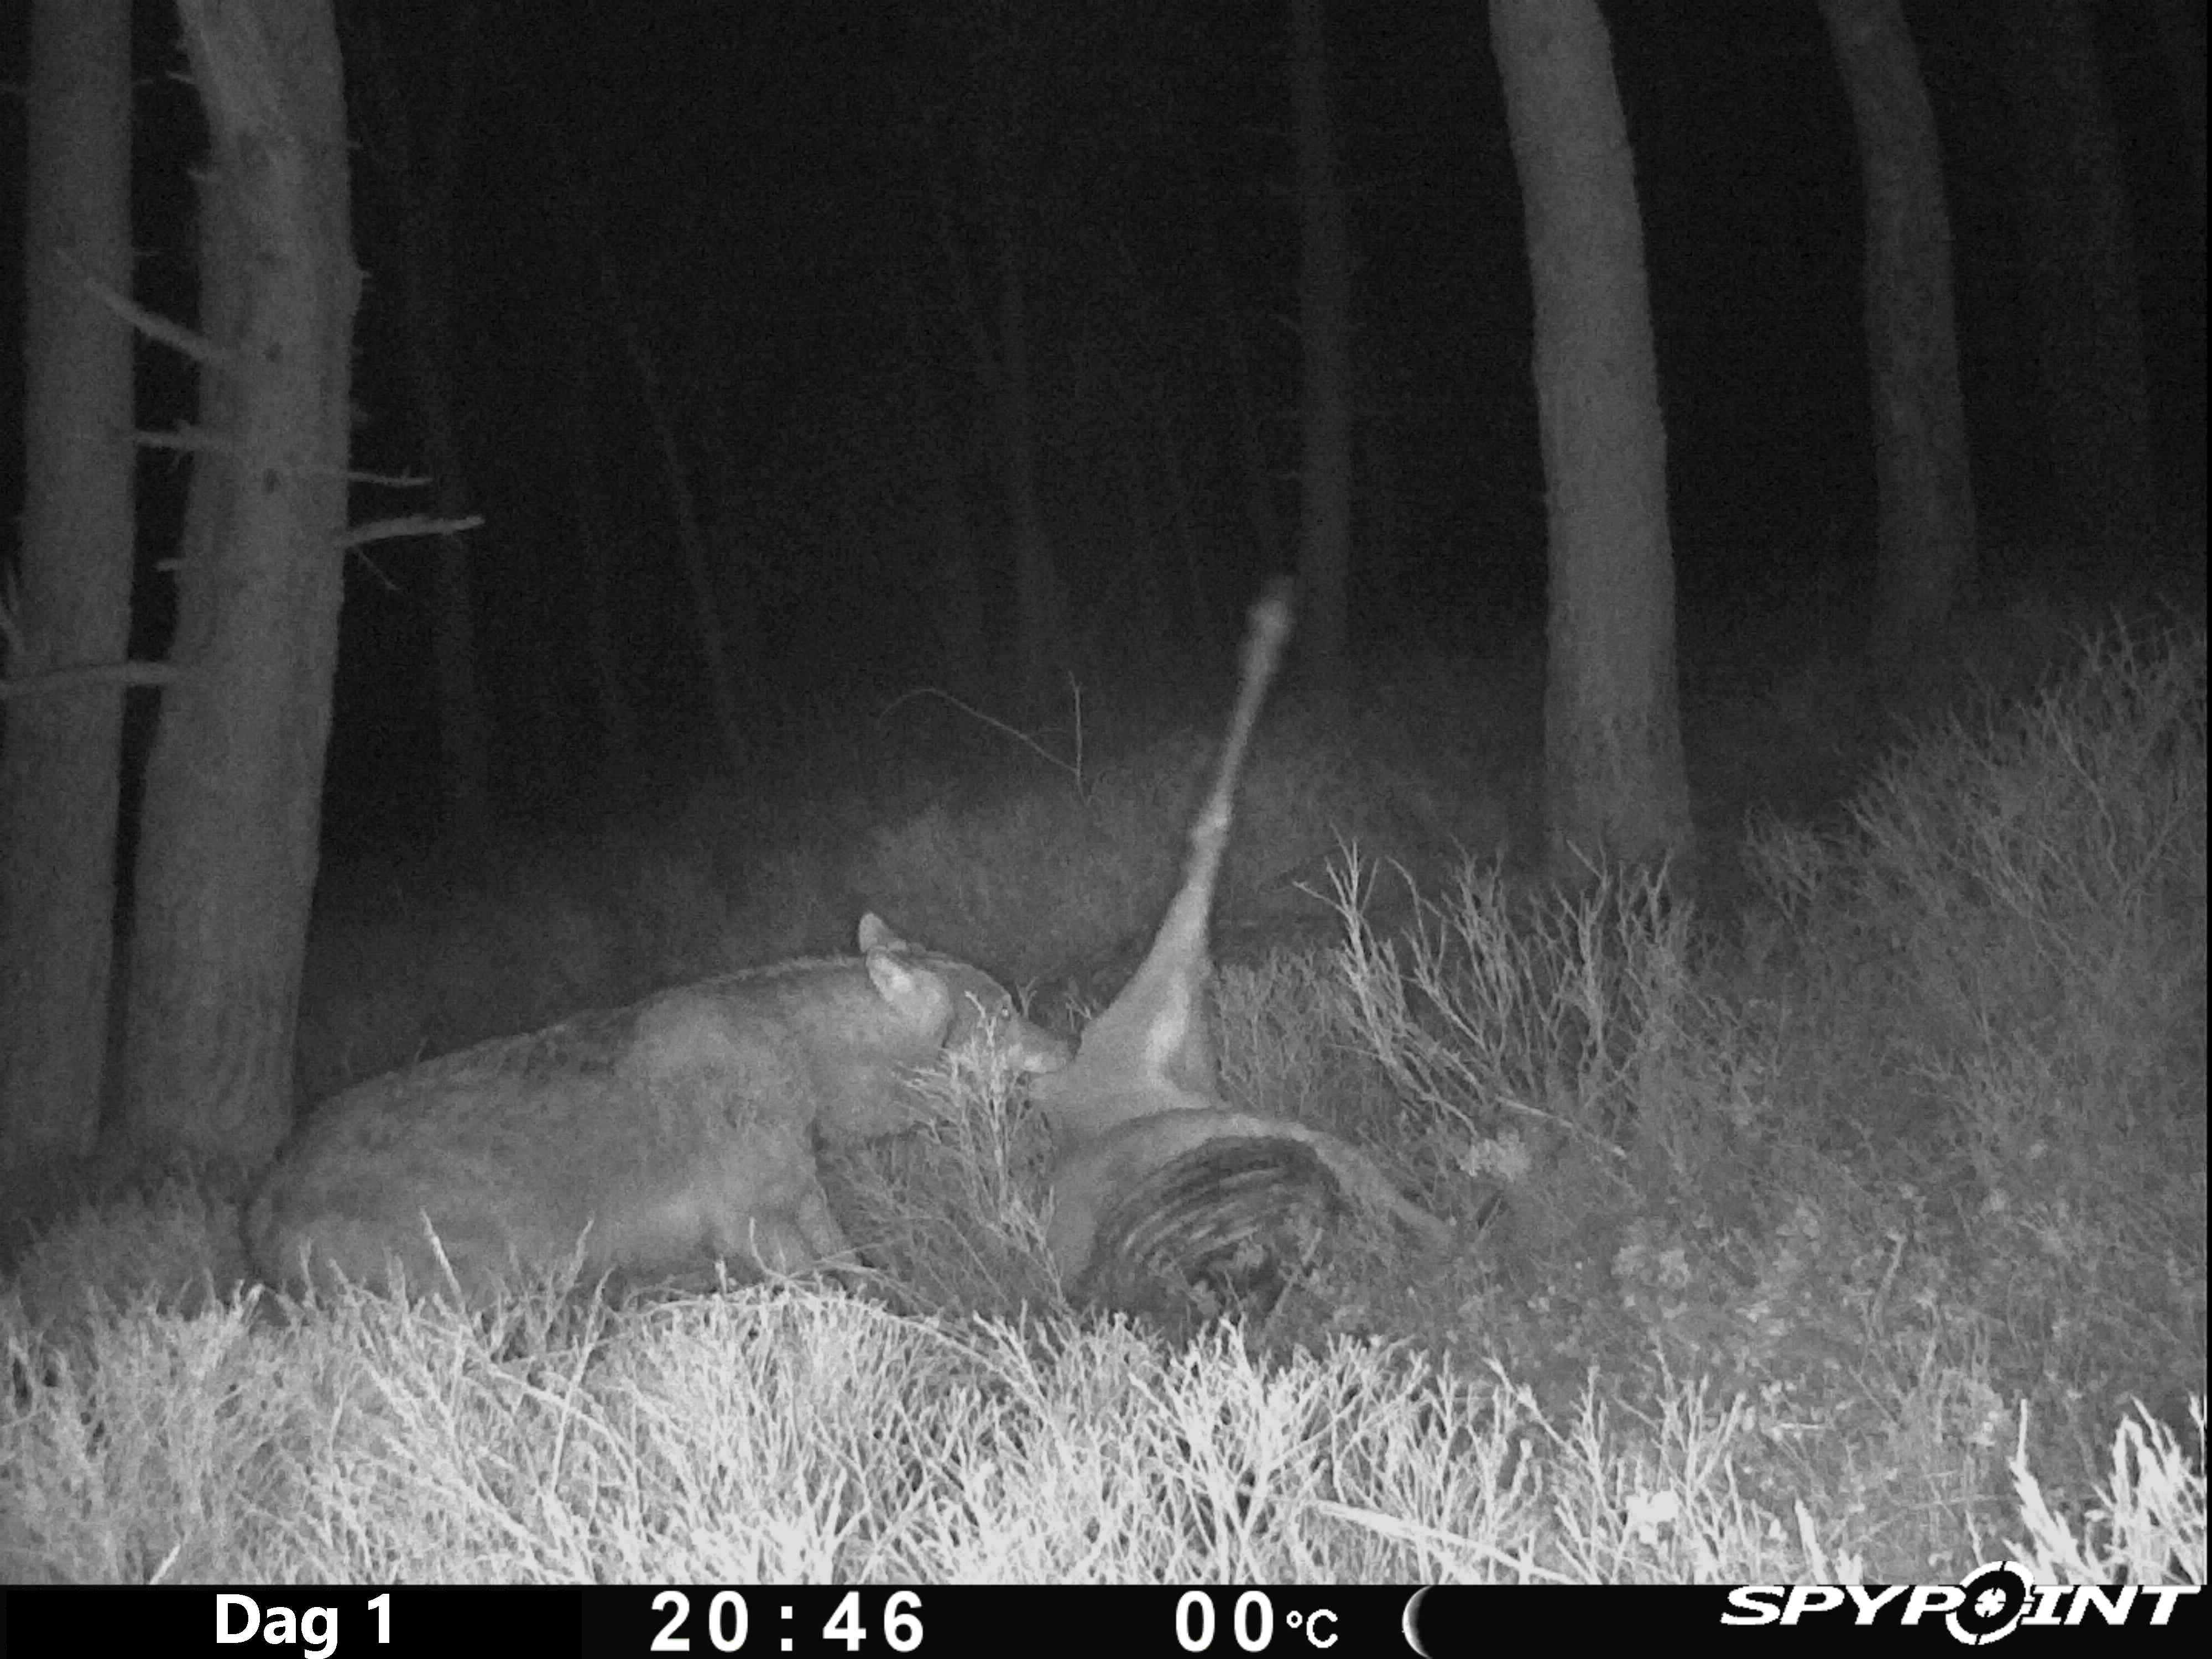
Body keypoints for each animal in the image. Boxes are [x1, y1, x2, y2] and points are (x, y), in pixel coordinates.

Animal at [246, 915, 1070, 1304]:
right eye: (1006, 1014)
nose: (1070, 1046)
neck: (800, 1065)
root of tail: (263, 1200)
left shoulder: (804, 1198)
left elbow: (865, 1272)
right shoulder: (753, 1229)